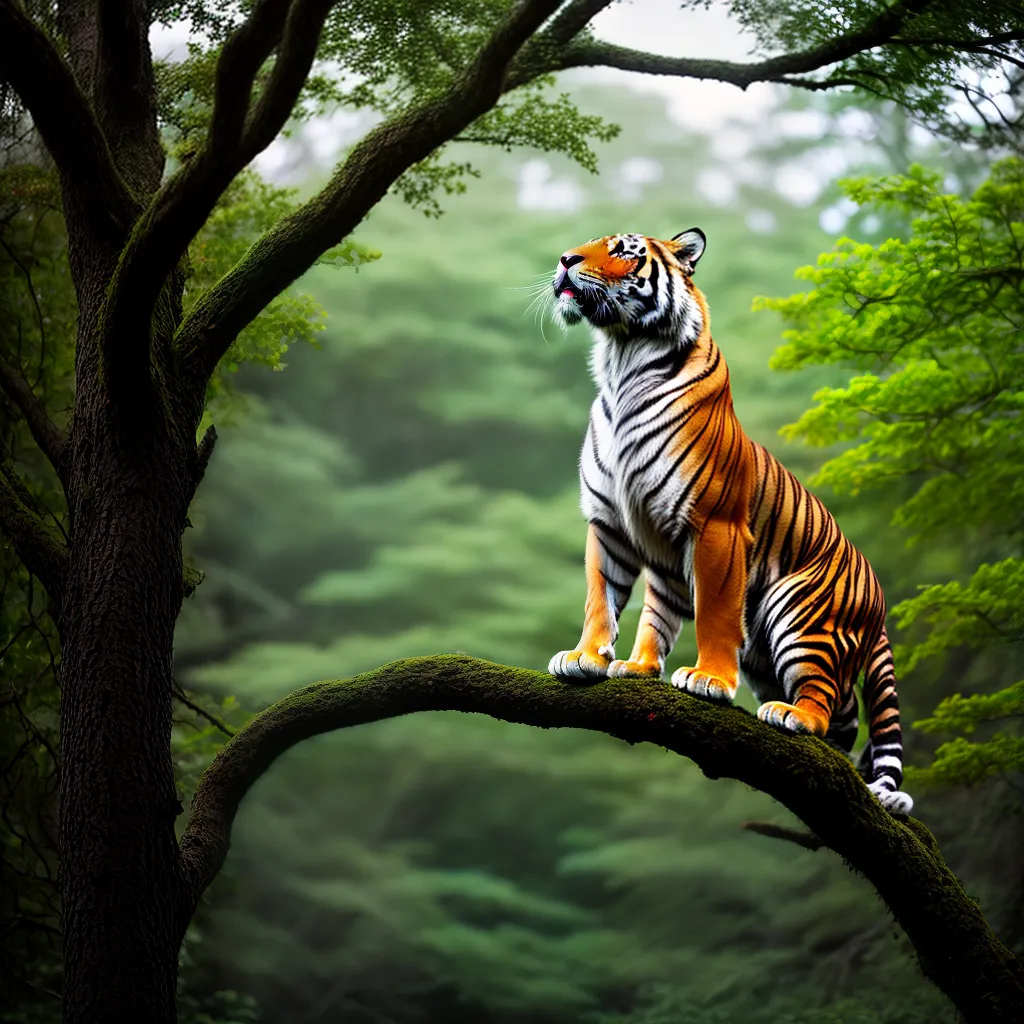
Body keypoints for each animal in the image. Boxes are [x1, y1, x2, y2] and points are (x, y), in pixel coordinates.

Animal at [546, 228, 913, 816]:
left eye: (623, 249)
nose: (564, 260)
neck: (622, 356)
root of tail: (878, 601)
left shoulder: (714, 524)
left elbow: (716, 613)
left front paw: (708, 680)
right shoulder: (610, 524)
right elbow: (605, 600)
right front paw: (591, 659)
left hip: (801, 614)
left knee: (822, 699)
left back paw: (792, 717)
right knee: (841, 723)